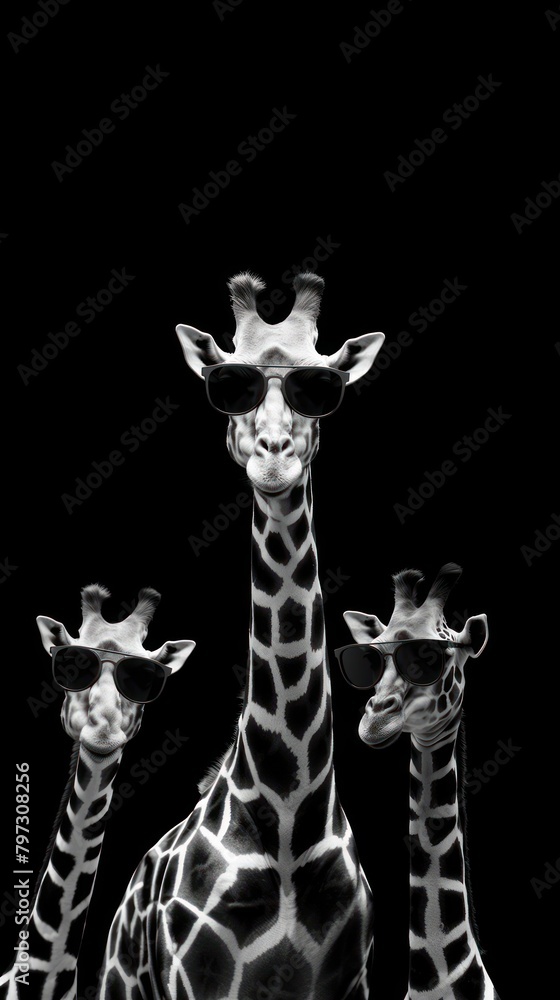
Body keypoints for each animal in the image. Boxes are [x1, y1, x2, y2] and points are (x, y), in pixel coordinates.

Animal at [97, 271, 384, 999]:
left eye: (322, 386)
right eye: (230, 384)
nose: (273, 457)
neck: (287, 819)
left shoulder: (350, 981)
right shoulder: (198, 980)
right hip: (121, 981)